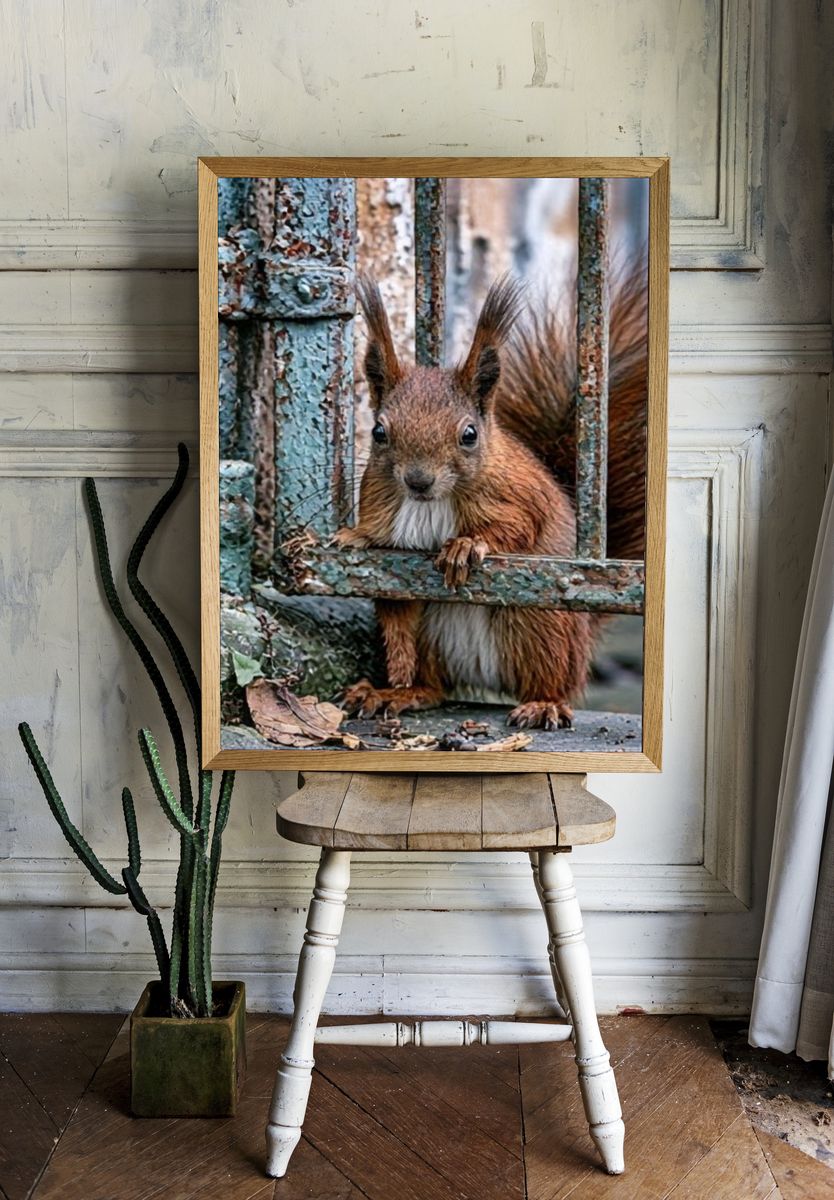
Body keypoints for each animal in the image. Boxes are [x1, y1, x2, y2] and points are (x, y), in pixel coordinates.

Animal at [335, 269, 647, 730]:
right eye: (378, 432)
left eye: (469, 434)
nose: (418, 481)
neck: (431, 504)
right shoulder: (385, 535)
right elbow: (393, 607)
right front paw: (353, 536)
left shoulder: (522, 495)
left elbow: (518, 525)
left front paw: (466, 545)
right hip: (435, 638)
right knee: (433, 685)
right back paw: (399, 692)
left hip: (542, 623)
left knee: (554, 680)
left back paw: (543, 704)